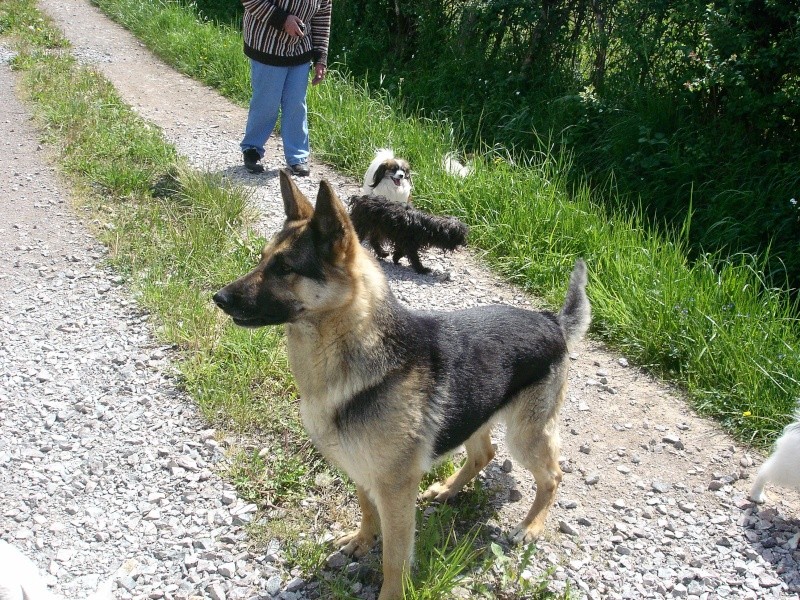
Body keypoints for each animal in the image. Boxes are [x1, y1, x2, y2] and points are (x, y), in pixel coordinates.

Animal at [212, 169, 588, 600]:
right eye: (262, 259)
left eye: (285, 267)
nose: (218, 297)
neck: (350, 349)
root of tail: (551, 320)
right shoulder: (362, 471)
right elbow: (364, 508)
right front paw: (363, 540)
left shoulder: (395, 493)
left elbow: (394, 558)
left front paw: (389, 587)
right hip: (475, 412)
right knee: (484, 454)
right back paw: (448, 489)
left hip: (526, 435)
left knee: (552, 476)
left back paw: (530, 526)